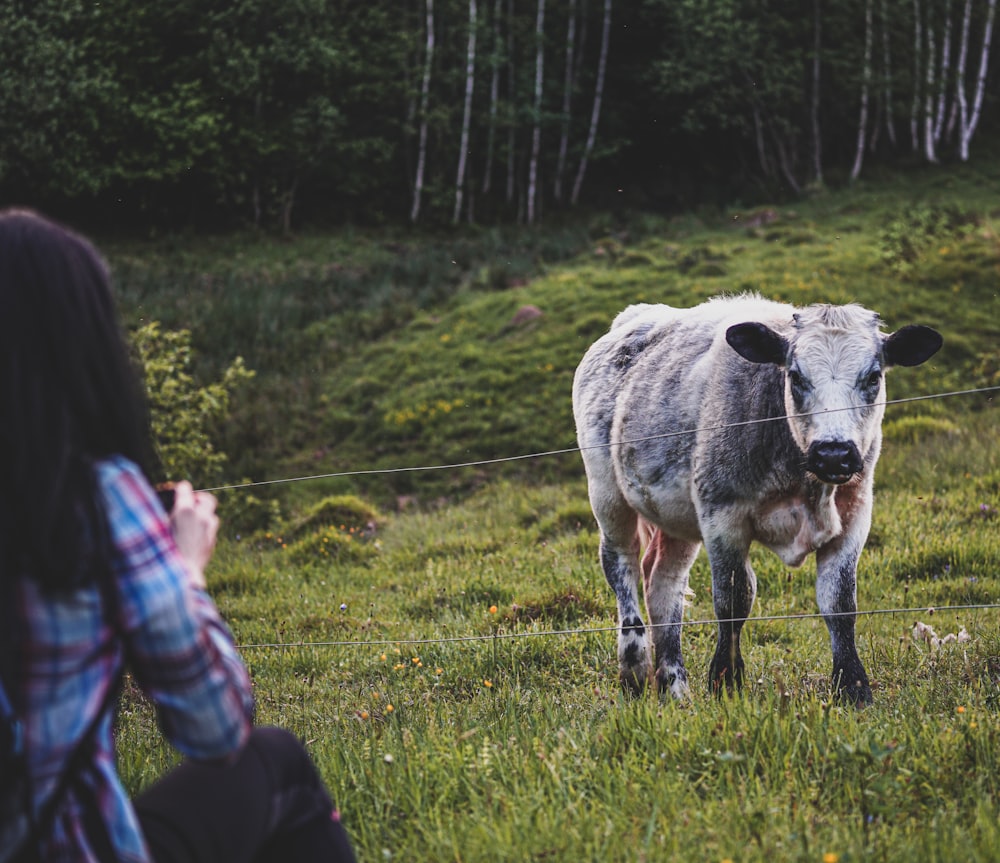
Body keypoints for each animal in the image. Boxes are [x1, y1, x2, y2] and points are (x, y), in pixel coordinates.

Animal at [576, 294, 940, 704]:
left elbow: (840, 603)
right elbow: (733, 599)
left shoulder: (853, 516)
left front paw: (853, 687)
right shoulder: (722, 516)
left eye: (874, 376)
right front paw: (726, 681)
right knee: (621, 565)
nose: (833, 454)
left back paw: (674, 686)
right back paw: (635, 670)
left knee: (663, 582)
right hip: (607, 495)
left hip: (674, 517)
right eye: (795, 376)